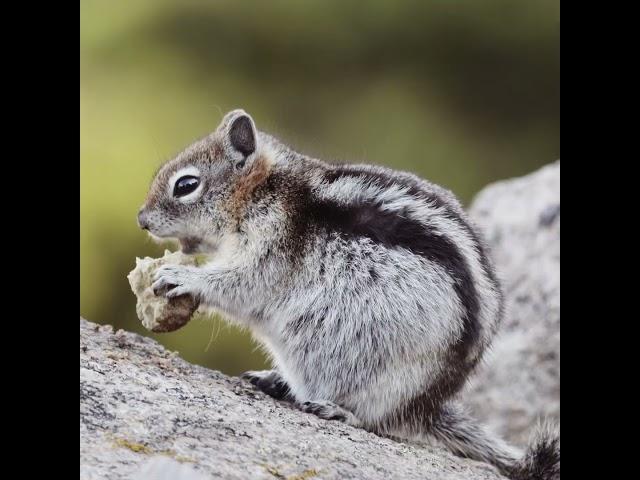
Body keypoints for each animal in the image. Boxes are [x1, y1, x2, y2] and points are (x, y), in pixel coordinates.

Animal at [138, 109, 556, 480]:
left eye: (186, 185)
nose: (141, 219)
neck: (264, 190)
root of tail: (426, 407)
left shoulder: (270, 248)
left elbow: (243, 284)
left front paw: (181, 276)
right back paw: (275, 381)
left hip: (380, 372)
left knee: (375, 420)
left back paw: (338, 411)